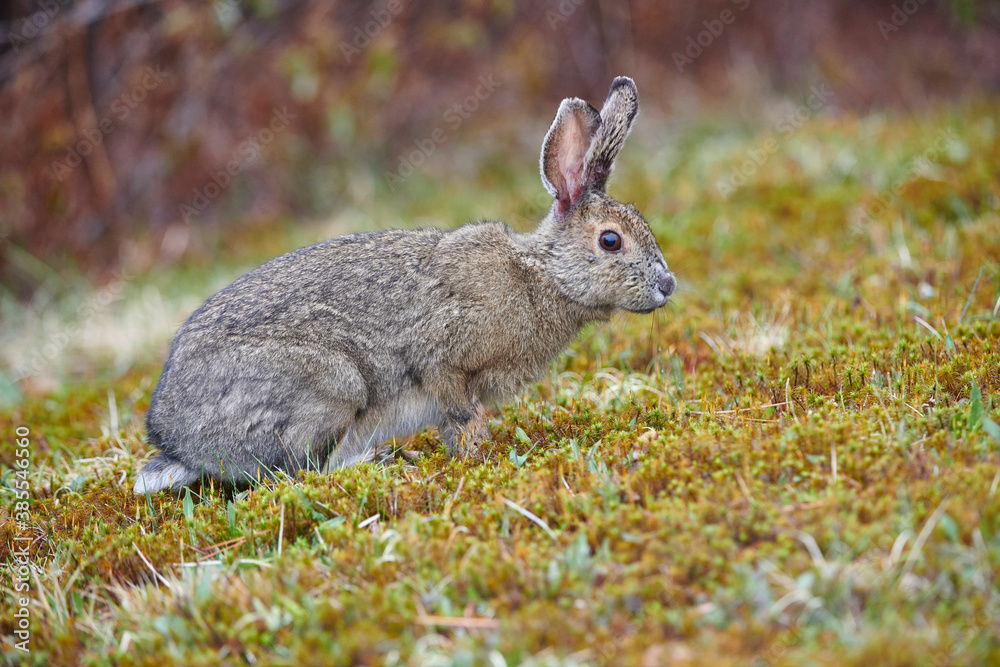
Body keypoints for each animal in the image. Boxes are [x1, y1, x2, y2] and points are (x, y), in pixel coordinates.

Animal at [133, 76, 676, 494]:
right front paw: (479, 459)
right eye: (610, 241)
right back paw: (375, 461)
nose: (668, 285)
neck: (544, 275)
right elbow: (462, 415)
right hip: (332, 385)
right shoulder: (446, 363)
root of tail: (177, 442)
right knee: (296, 474)